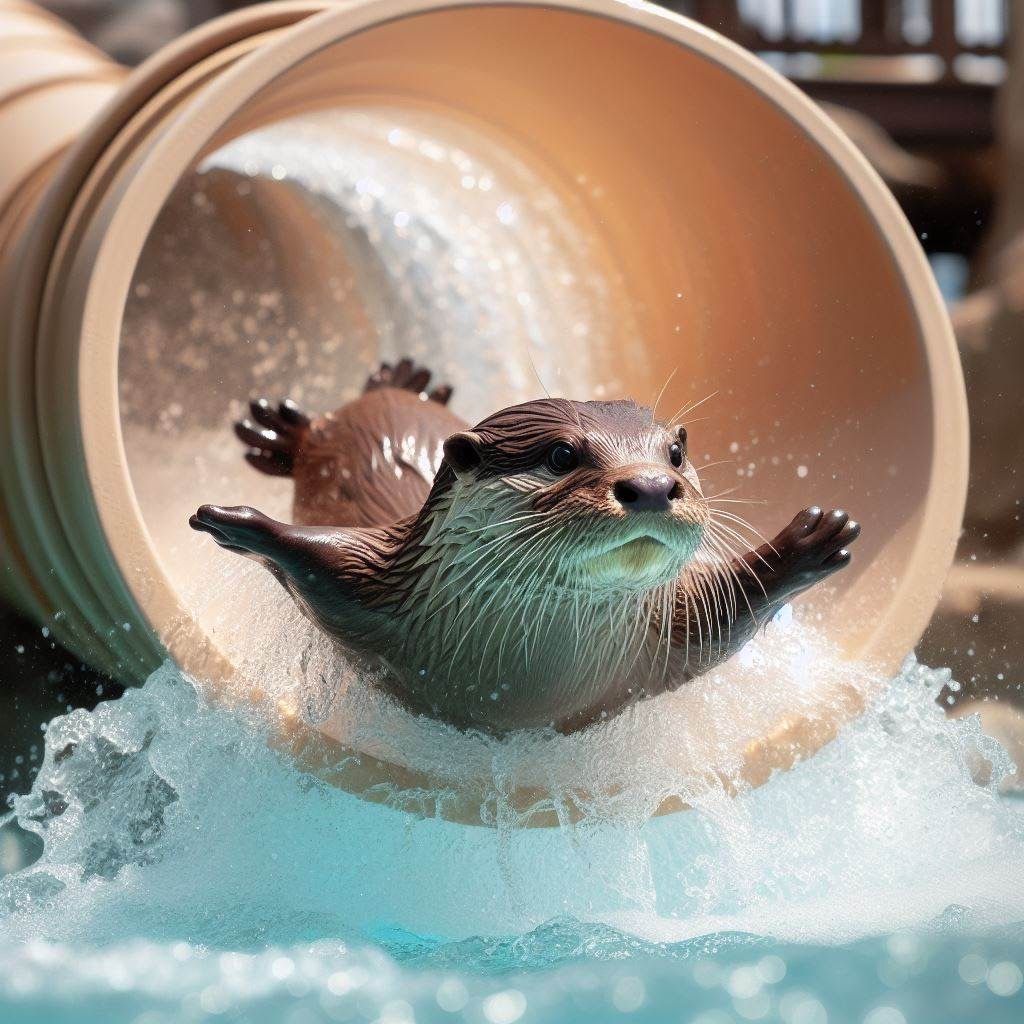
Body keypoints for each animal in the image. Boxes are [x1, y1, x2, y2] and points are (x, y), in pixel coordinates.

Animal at [191, 359, 860, 734]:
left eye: (674, 454)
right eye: (562, 454)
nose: (650, 485)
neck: (526, 676)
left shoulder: (658, 642)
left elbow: (722, 614)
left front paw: (807, 546)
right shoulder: (376, 593)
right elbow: (323, 563)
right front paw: (242, 525)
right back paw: (287, 427)